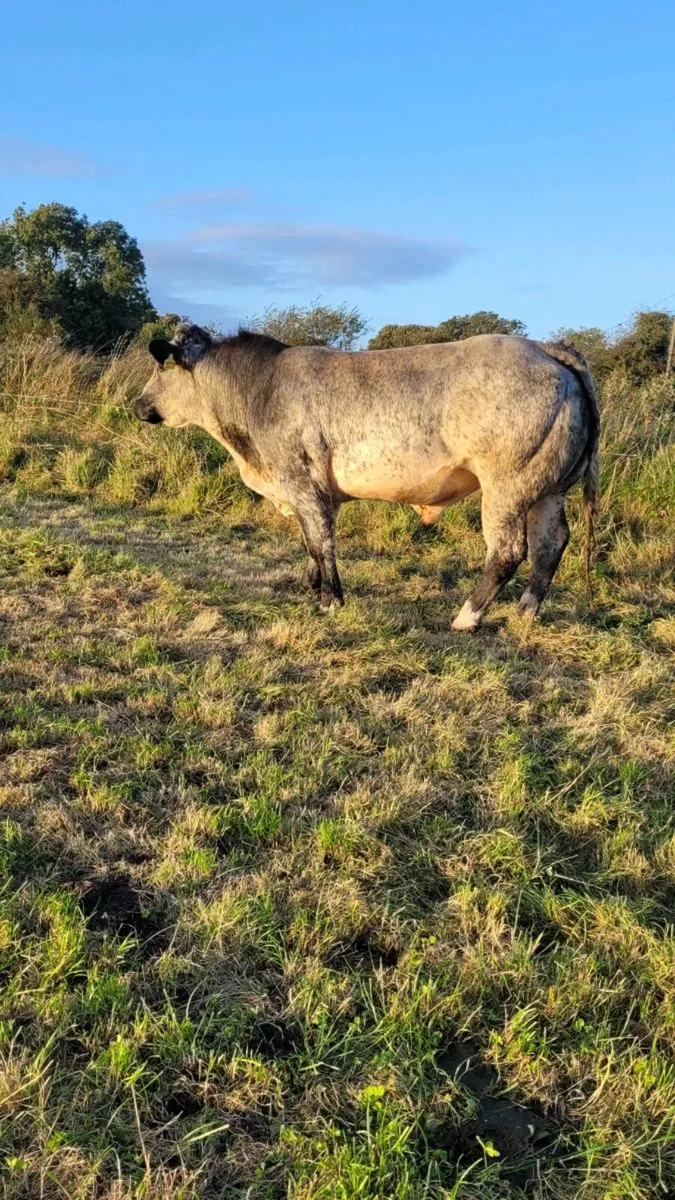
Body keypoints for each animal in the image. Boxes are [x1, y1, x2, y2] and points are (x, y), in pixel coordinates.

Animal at [135, 324, 599, 630]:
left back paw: (466, 618)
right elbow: (311, 542)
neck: (260, 391)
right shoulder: (312, 490)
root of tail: (546, 347)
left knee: (508, 550)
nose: (139, 404)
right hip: (549, 488)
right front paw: (312, 587)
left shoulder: (302, 480)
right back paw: (525, 612)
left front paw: (331, 601)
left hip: (507, 485)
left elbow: (321, 540)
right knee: (551, 543)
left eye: (160, 367)